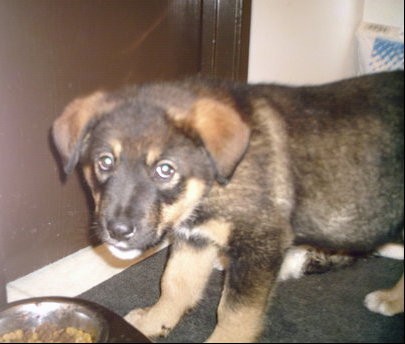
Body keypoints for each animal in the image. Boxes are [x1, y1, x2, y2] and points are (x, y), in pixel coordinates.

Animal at [52, 71, 400, 342]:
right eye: (105, 162)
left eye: (165, 170)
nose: (117, 231)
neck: (212, 185)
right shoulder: (195, 237)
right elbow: (174, 283)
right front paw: (155, 321)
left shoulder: (260, 245)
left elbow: (235, 314)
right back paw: (392, 300)